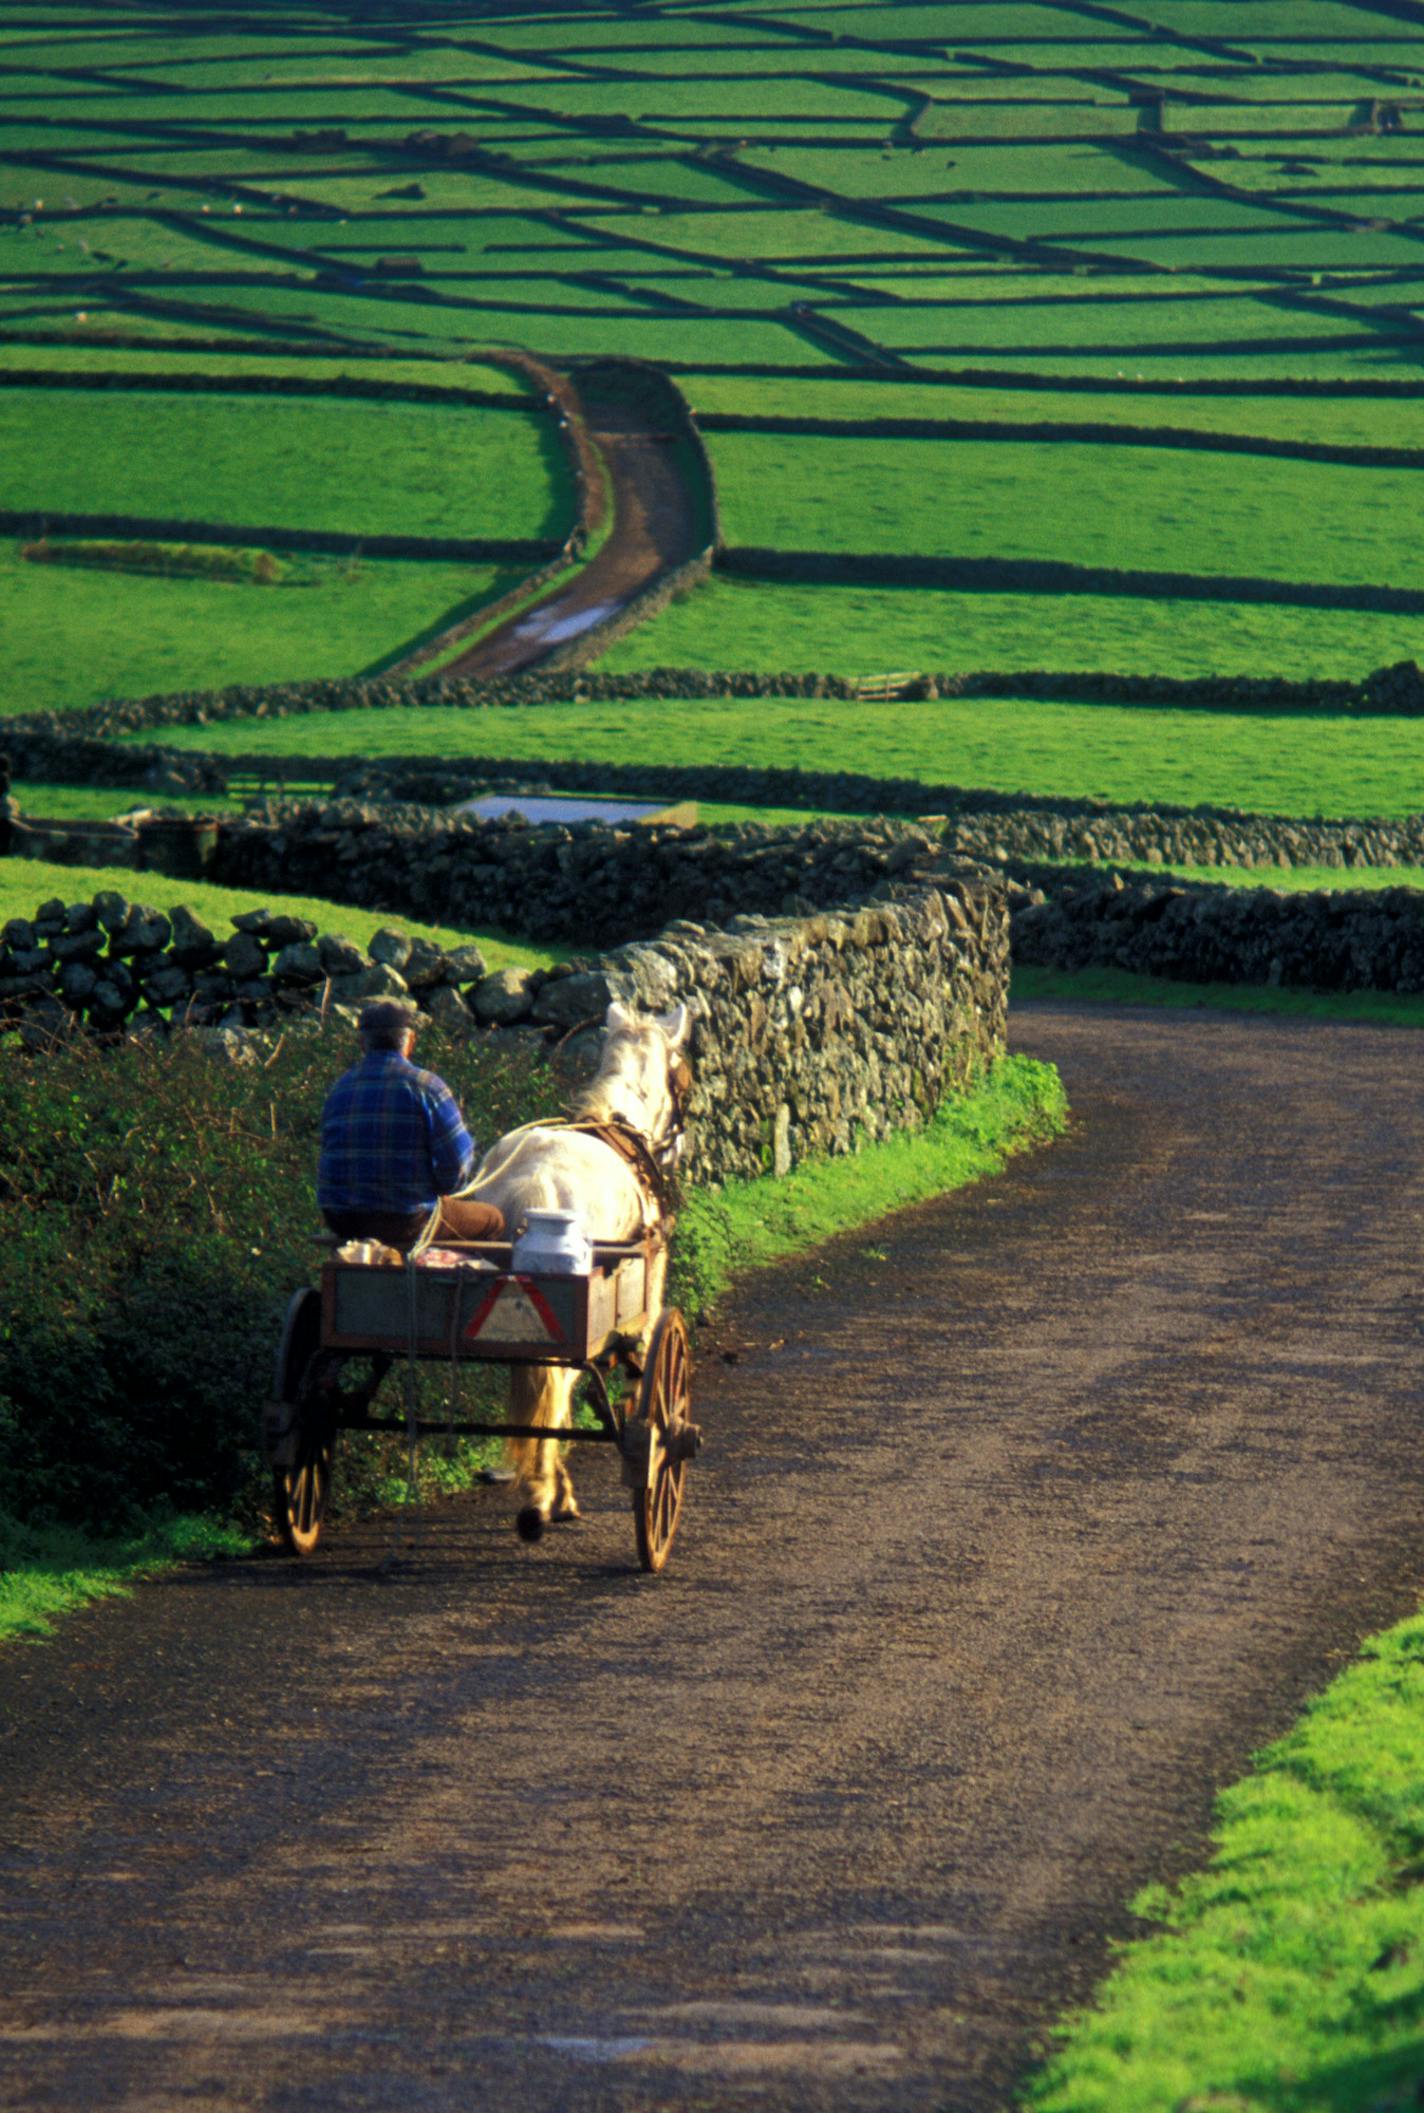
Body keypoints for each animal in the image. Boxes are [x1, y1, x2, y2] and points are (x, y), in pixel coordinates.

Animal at [462, 997, 688, 1546]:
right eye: (683, 1074)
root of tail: (537, 1181)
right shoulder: (645, 1301)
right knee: (558, 1390)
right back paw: (546, 1497)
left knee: (543, 1392)